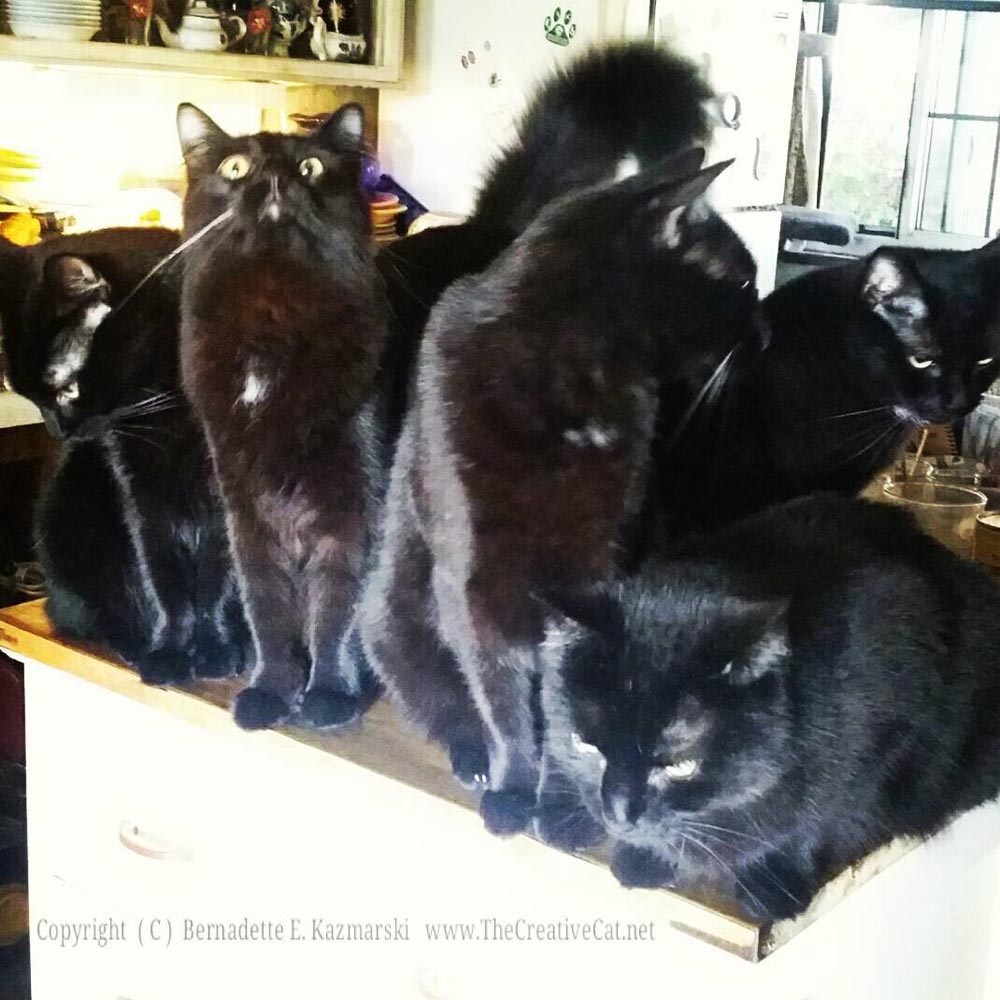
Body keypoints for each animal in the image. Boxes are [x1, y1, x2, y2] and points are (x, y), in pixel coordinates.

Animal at [0, 228, 248, 684]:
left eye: (66, 389)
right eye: (30, 398)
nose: (56, 431)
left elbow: (220, 578)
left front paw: (216, 650)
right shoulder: (139, 495)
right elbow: (158, 575)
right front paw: (168, 652)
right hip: (66, 510)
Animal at [540, 494, 1000, 920]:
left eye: (681, 766)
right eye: (586, 745)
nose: (618, 814)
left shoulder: (891, 738)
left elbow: (824, 814)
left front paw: (772, 882)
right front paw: (646, 856)